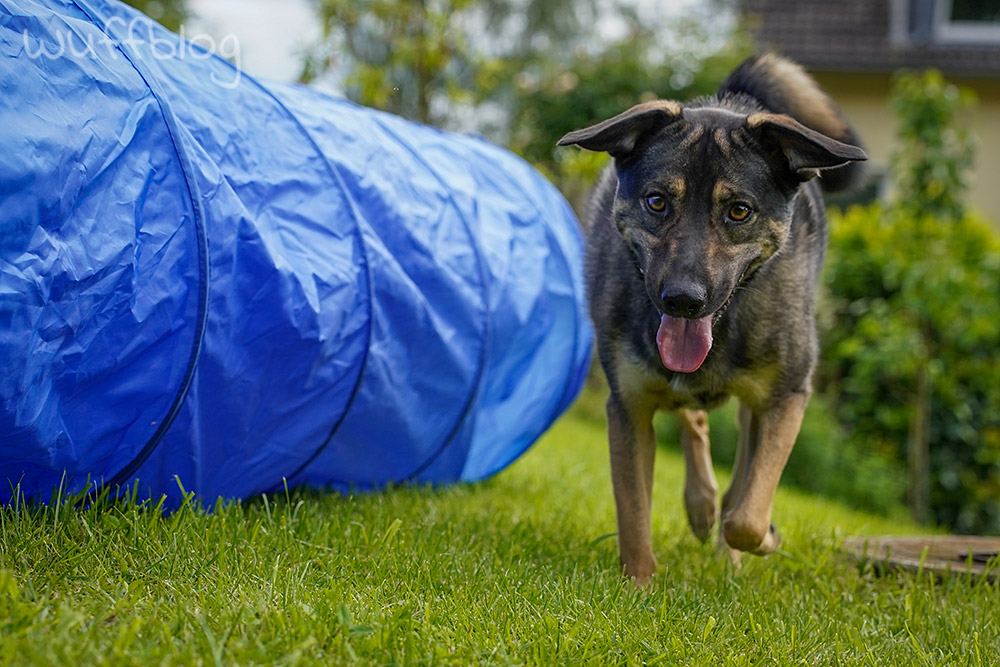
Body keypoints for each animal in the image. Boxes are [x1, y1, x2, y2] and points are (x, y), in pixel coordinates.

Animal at [560, 56, 864, 584]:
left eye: (739, 211)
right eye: (656, 201)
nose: (683, 300)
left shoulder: (787, 395)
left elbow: (747, 514)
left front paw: (762, 537)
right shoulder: (628, 407)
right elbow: (633, 512)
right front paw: (639, 585)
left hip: (759, 399)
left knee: (739, 461)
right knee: (693, 418)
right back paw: (700, 505)